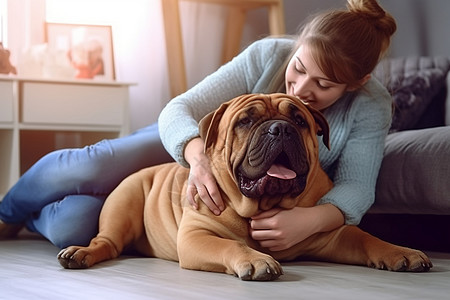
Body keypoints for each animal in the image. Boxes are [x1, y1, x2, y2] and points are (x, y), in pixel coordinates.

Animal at [58, 92, 430, 280]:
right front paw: (256, 260)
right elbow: (231, 245)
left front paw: (402, 252)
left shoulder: (332, 235)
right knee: (106, 242)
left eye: (299, 120)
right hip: (123, 204)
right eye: (245, 121)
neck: (264, 204)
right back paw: (80, 254)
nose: (280, 128)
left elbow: (367, 238)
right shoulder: (196, 237)